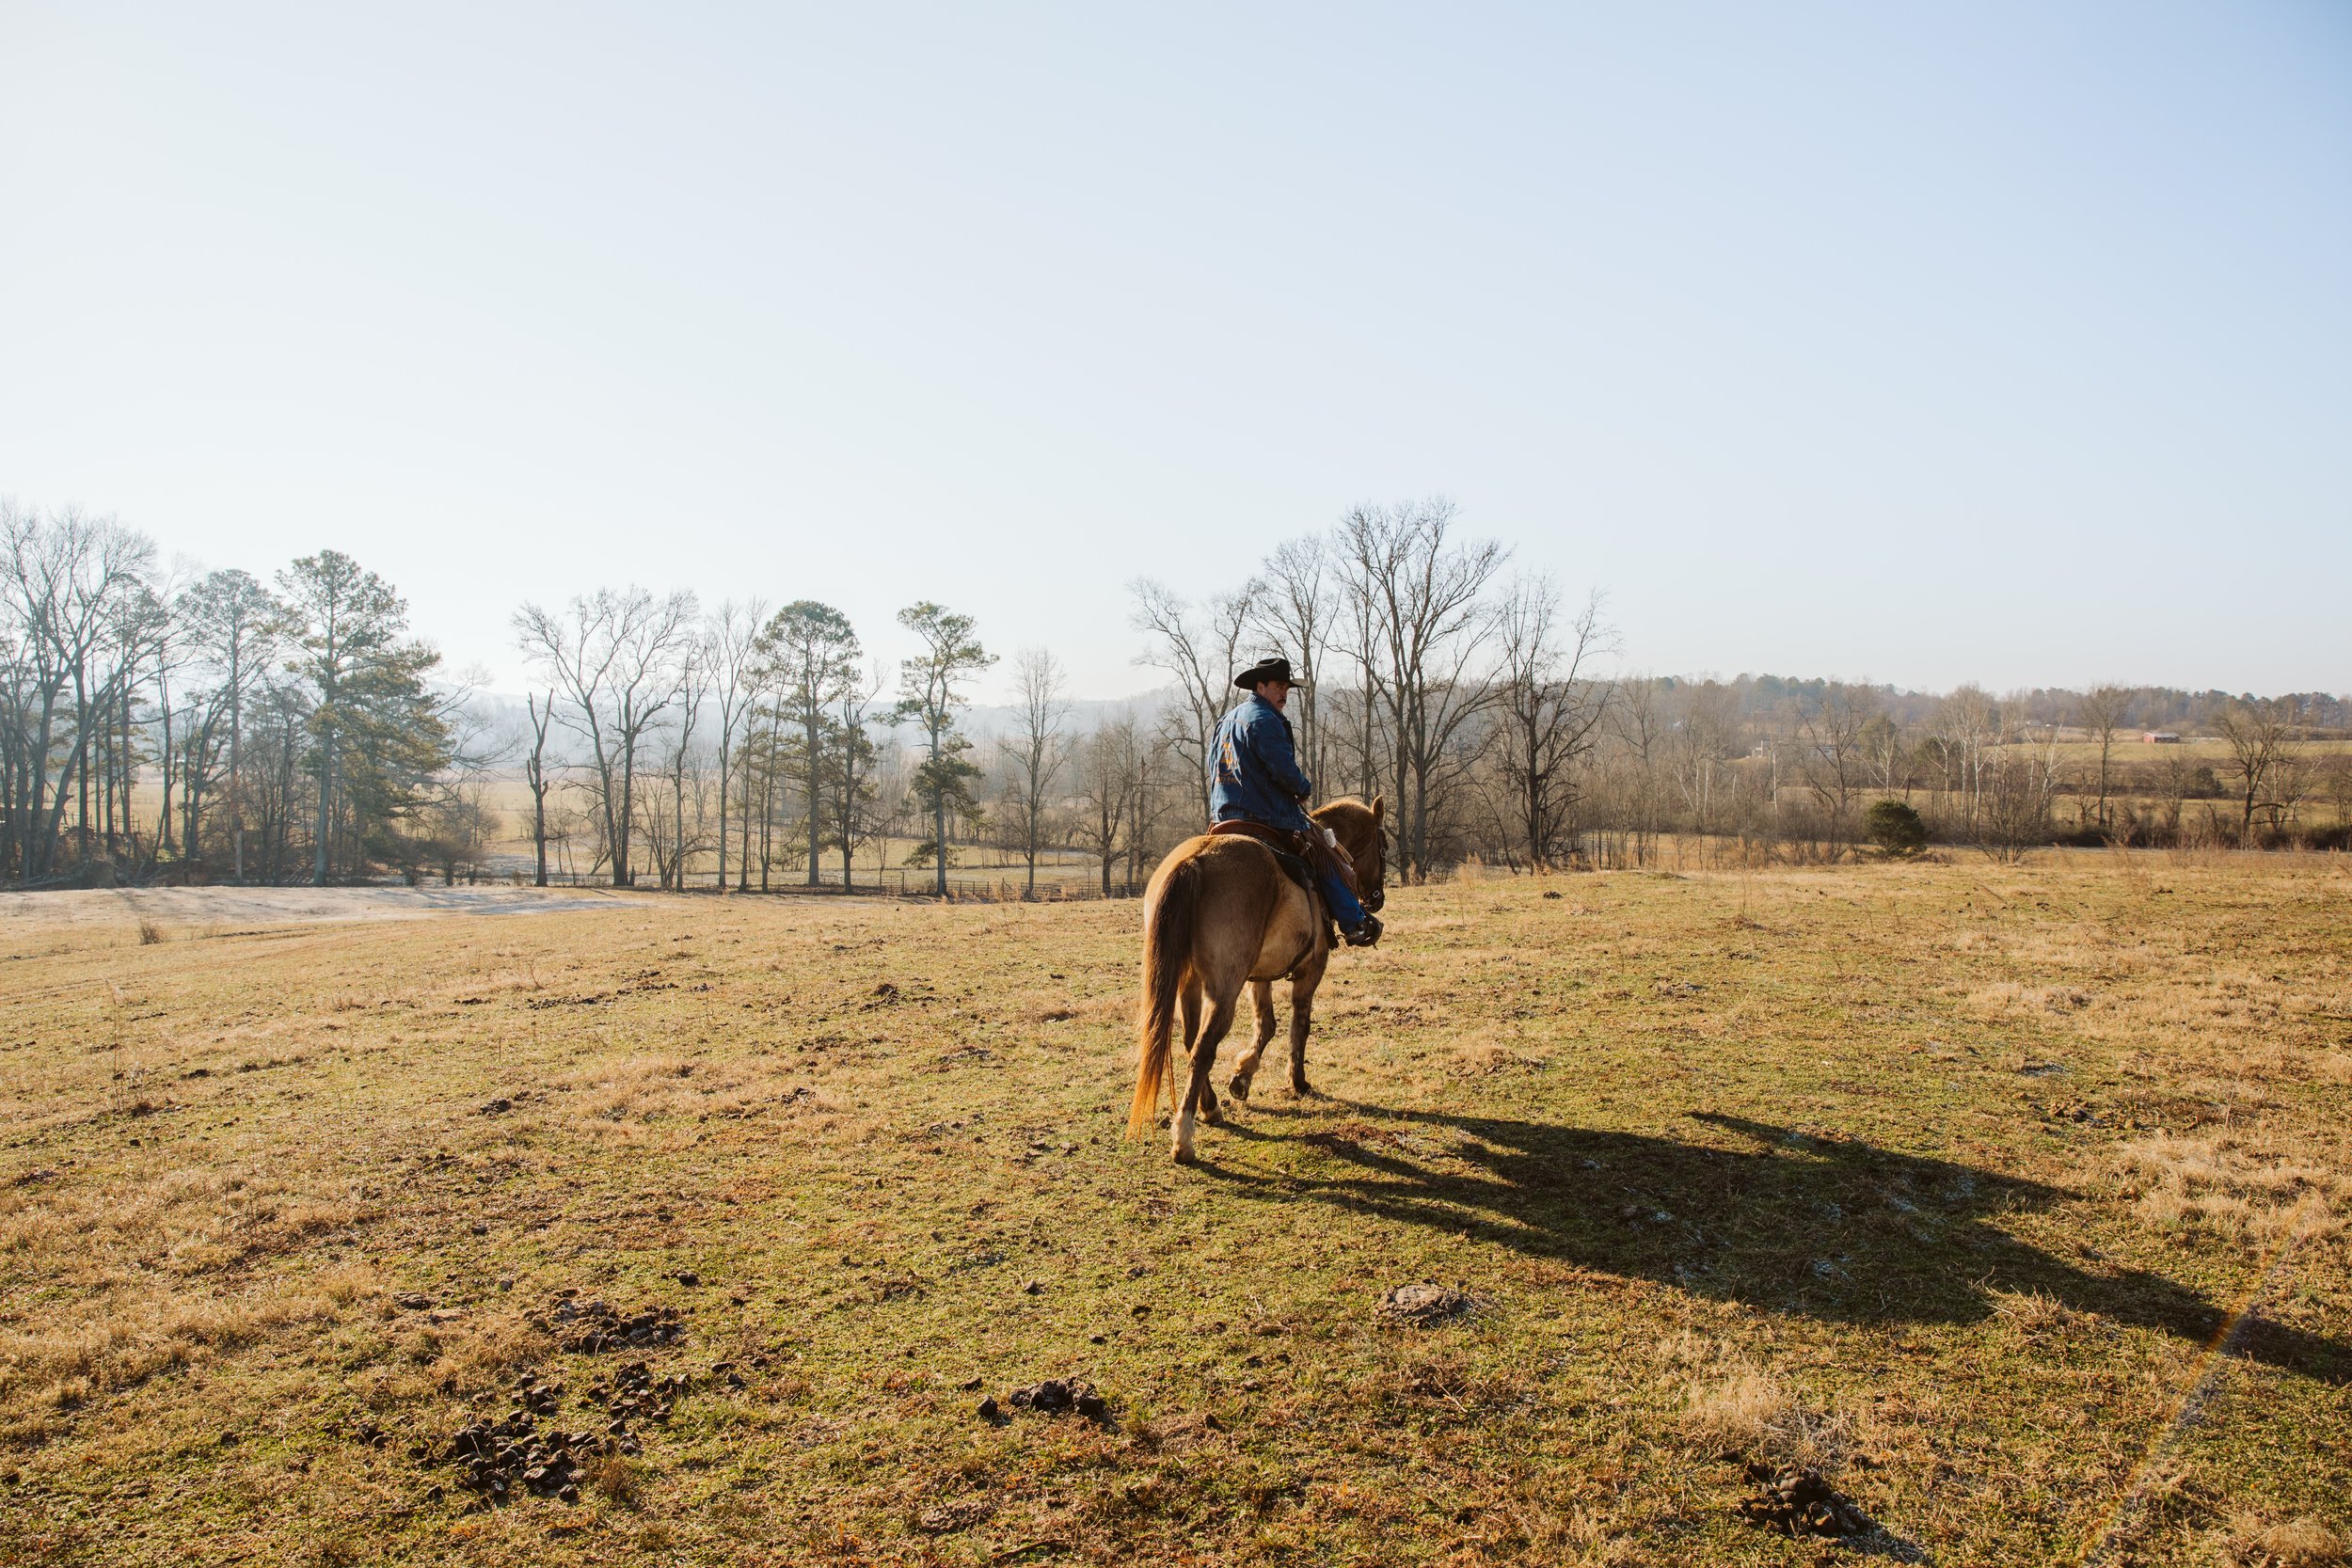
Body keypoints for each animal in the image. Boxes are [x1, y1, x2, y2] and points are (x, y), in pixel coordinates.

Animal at [1124, 796, 1388, 1163]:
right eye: (1383, 845)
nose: (1376, 897)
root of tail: (1194, 862)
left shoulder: (1259, 977)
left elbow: (1267, 1025)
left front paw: (1242, 1077)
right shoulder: (1311, 970)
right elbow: (1299, 1026)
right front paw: (1297, 1081)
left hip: (1189, 983)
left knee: (1192, 1041)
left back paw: (1210, 1107)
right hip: (1223, 989)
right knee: (1204, 1048)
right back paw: (1184, 1136)